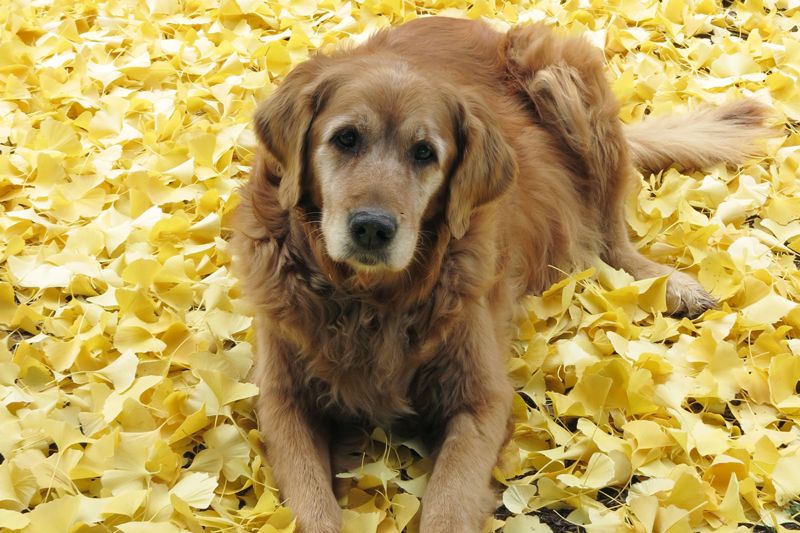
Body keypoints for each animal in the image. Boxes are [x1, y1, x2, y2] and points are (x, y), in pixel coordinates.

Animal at [230, 15, 768, 532]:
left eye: (424, 153)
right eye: (345, 139)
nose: (371, 228)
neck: (367, 300)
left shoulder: (481, 400)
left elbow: (448, 506)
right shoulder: (283, 401)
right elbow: (311, 507)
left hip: (564, 74)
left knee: (612, 238)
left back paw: (669, 284)